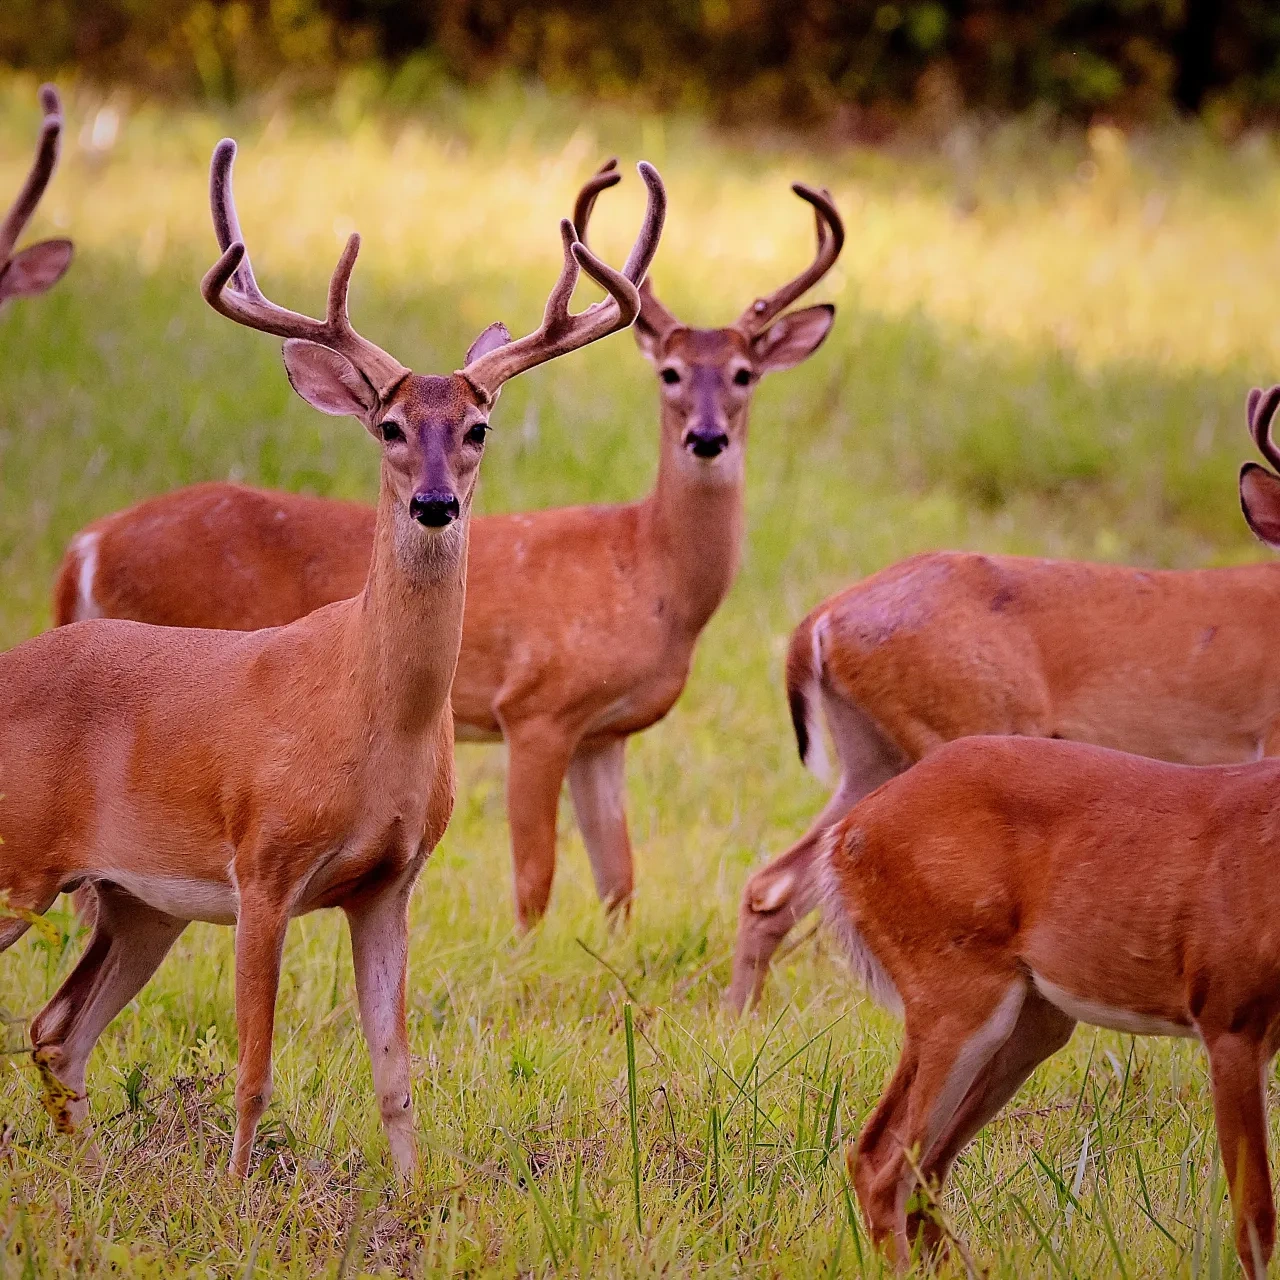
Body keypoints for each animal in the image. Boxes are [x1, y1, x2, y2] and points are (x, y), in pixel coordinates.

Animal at [0, 136, 663, 1176]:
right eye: (390, 426)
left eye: (476, 427)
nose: (434, 503)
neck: (368, 721)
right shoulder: (263, 864)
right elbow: (254, 1068)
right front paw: (235, 1196)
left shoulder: (389, 883)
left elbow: (395, 1073)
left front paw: (414, 1196)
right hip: (22, 860)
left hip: (136, 902)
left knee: (56, 1030)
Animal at [52, 161, 843, 930]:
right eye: (671, 374)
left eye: (743, 374)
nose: (706, 437)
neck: (650, 573)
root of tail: (87, 543)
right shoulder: (536, 706)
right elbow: (535, 877)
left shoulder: (605, 734)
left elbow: (619, 880)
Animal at [824, 385, 1280, 1279]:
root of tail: (853, 833)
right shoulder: (1229, 1011)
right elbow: (1255, 1219)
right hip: (954, 982)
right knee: (882, 1158)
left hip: (1034, 1015)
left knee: (925, 1167)